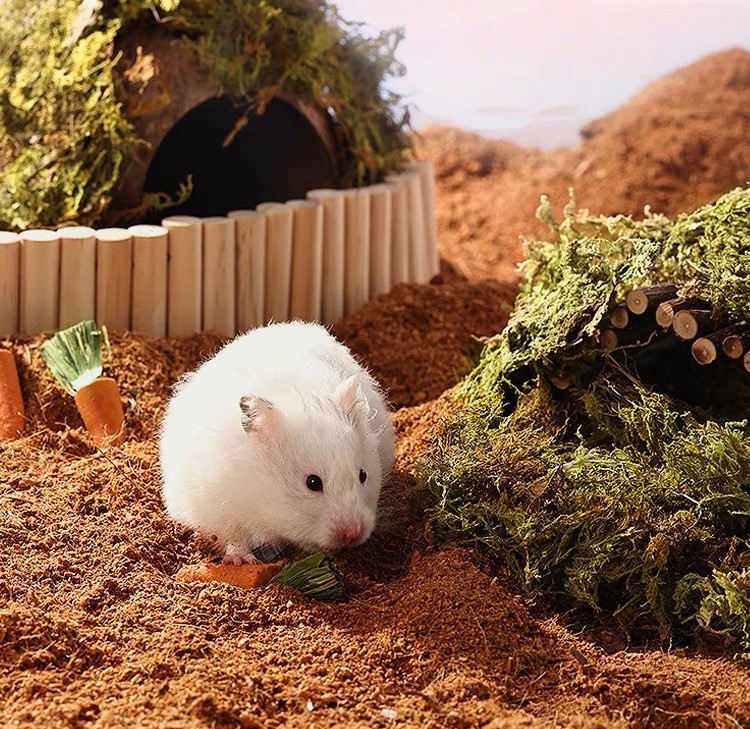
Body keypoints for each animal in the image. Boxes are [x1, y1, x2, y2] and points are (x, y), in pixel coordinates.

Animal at [159, 321, 395, 564]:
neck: (263, 490)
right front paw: (241, 561)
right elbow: (234, 536)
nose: (354, 534)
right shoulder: (217, 506)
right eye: (313, 483)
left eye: (363, 475)